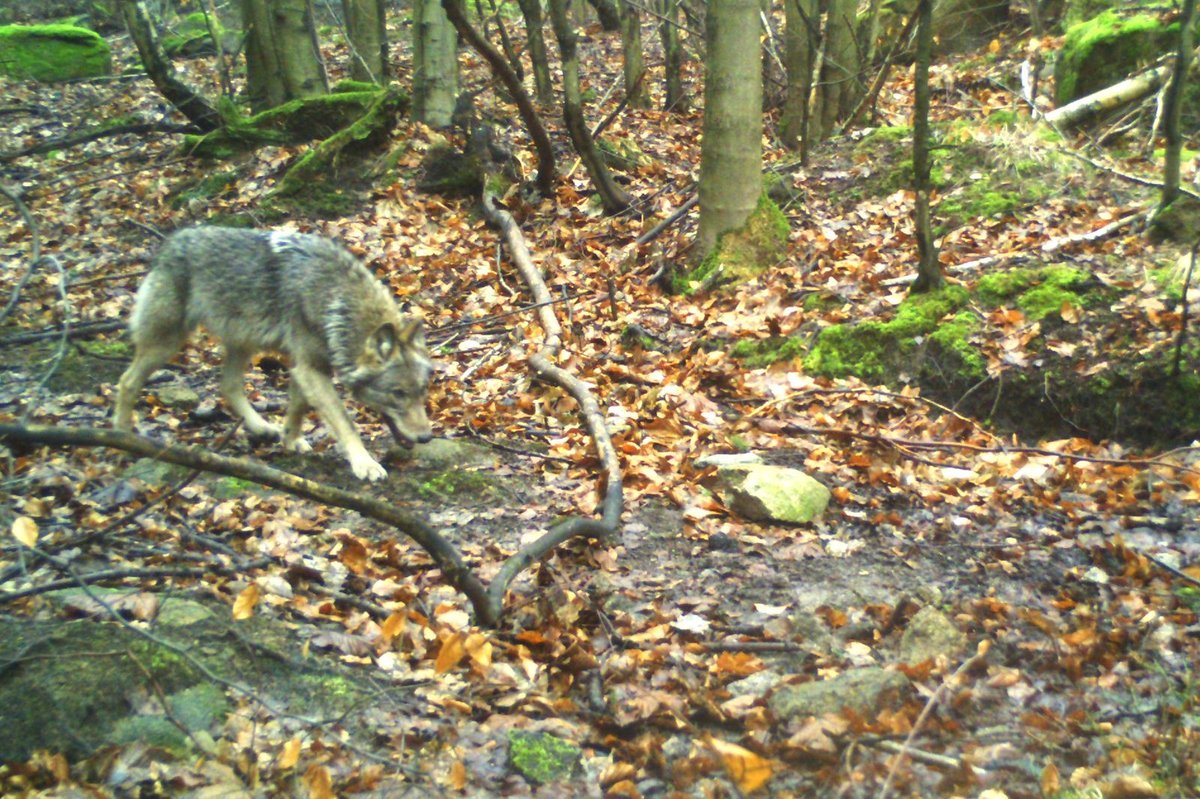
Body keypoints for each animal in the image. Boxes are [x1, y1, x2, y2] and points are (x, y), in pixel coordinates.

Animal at [112, 224, 436, 479]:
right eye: (397, 394)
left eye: (422, 391)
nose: (426, 437)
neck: (336, 304)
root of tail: (170, 242)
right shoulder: (309, 367)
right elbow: (345, 422)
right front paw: (364, 464)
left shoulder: (304, 367)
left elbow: (298, 407)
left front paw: (290, 439)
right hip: (168, 342)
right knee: (127, 381)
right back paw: (123, 434)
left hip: (243, 343)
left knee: (227, 385)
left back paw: (262, 427)